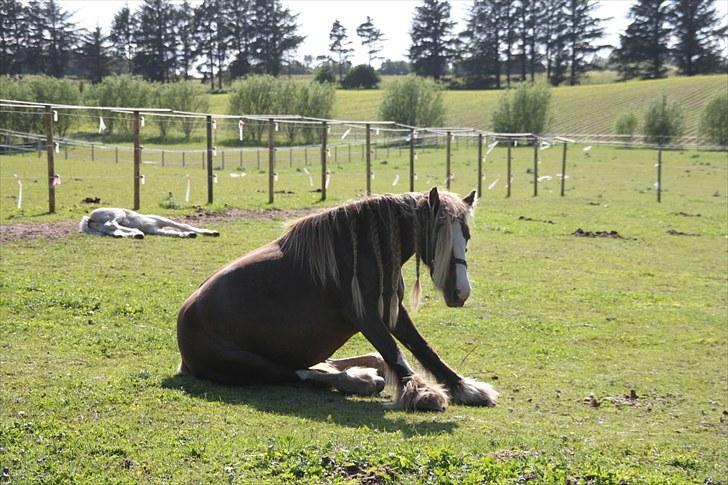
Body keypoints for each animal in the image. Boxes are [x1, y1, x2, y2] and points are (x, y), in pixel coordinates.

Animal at [175, 187, 500, 410]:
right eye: (438, 238)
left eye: (466, 236)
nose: (461, 292)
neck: (364, 249)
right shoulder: (367, 317)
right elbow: (395, 352)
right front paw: (423, 393)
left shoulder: (392, 311)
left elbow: (423, 349)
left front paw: (464, 387)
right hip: (249, 363)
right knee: (299, 374)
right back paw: (359, 380)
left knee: (329, 364)